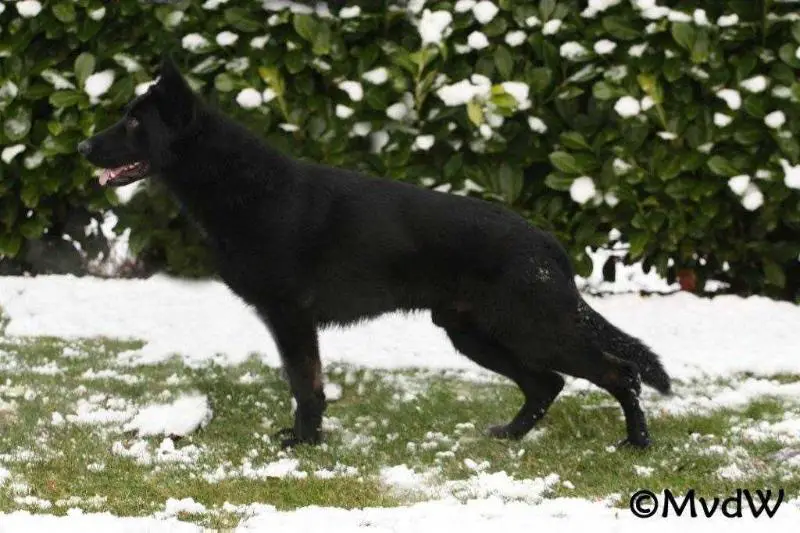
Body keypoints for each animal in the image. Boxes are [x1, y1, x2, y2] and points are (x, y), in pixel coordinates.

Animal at [78, 56, 672, 446]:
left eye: (134, 121)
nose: (82, 145)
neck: (240, 183)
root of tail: (546, 242)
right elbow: (308, 384)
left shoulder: (291, 318)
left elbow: (306, 386)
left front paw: (303, 443)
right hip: (475, 334)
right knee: (548, 383)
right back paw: (510, 434)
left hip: (535, 331)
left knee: (619, 373)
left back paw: (636, 444)